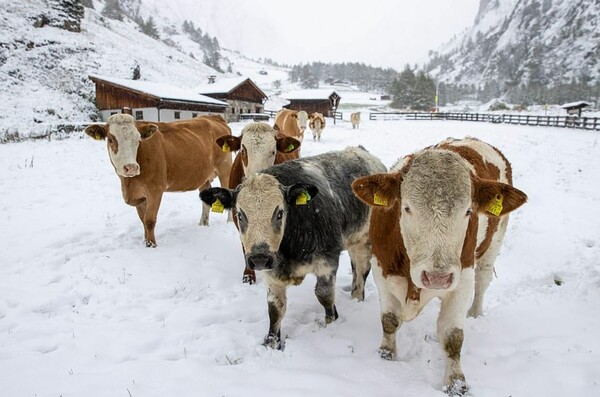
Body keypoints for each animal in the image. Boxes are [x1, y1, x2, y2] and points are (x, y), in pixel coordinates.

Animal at [84, 113, 232, 246]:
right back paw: (203, 224)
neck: (128, 183)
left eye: (138, 140)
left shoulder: (155, 190)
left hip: (225, 169)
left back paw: (229, 222)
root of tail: (213, 117)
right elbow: (142, 219)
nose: (131, 167)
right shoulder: (139, 195)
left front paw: (152, 245)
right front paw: (145, 242)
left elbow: (149, 220)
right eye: (110, 139)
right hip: (203, 176)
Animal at [199, 147, 386, 348]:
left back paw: (357, 298)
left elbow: (324, 295)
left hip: (364, 242)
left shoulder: (327, 260)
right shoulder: (271, 272)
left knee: (361, 272)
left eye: (280, 213)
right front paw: (271, 343)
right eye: (240, 214)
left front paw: (331, 324)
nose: (259, 258)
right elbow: (275, 309)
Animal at [354, 136, 528, 392]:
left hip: (493, 243)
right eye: (407, 207)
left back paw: (475, 312)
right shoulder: (381, 271)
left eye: (468, 211)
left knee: (483, 281)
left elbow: (453, 336)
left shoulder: (461, 279)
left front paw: (455, 381)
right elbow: (389, 321)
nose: (437, 277)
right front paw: (386, 356)